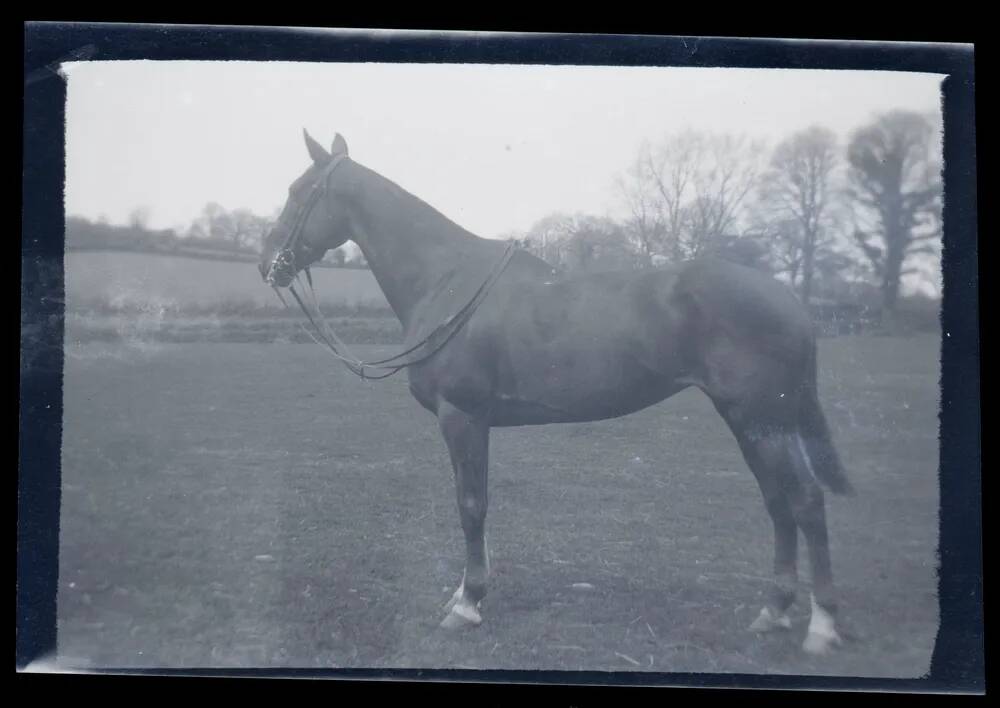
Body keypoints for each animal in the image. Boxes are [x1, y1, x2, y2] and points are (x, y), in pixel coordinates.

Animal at [258, 131, 852, 652]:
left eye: (298, 190)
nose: (267, 264)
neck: (447, 279)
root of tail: (790, 299)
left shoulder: (462, 416)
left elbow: (470, 504)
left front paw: (467, 605)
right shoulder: (469, 423)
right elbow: (474, 502)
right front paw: (467, 592)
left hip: (761, 420)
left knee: (804, 500)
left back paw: (821, 626)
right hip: (750, 422)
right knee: (778, 503)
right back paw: (773, 612)